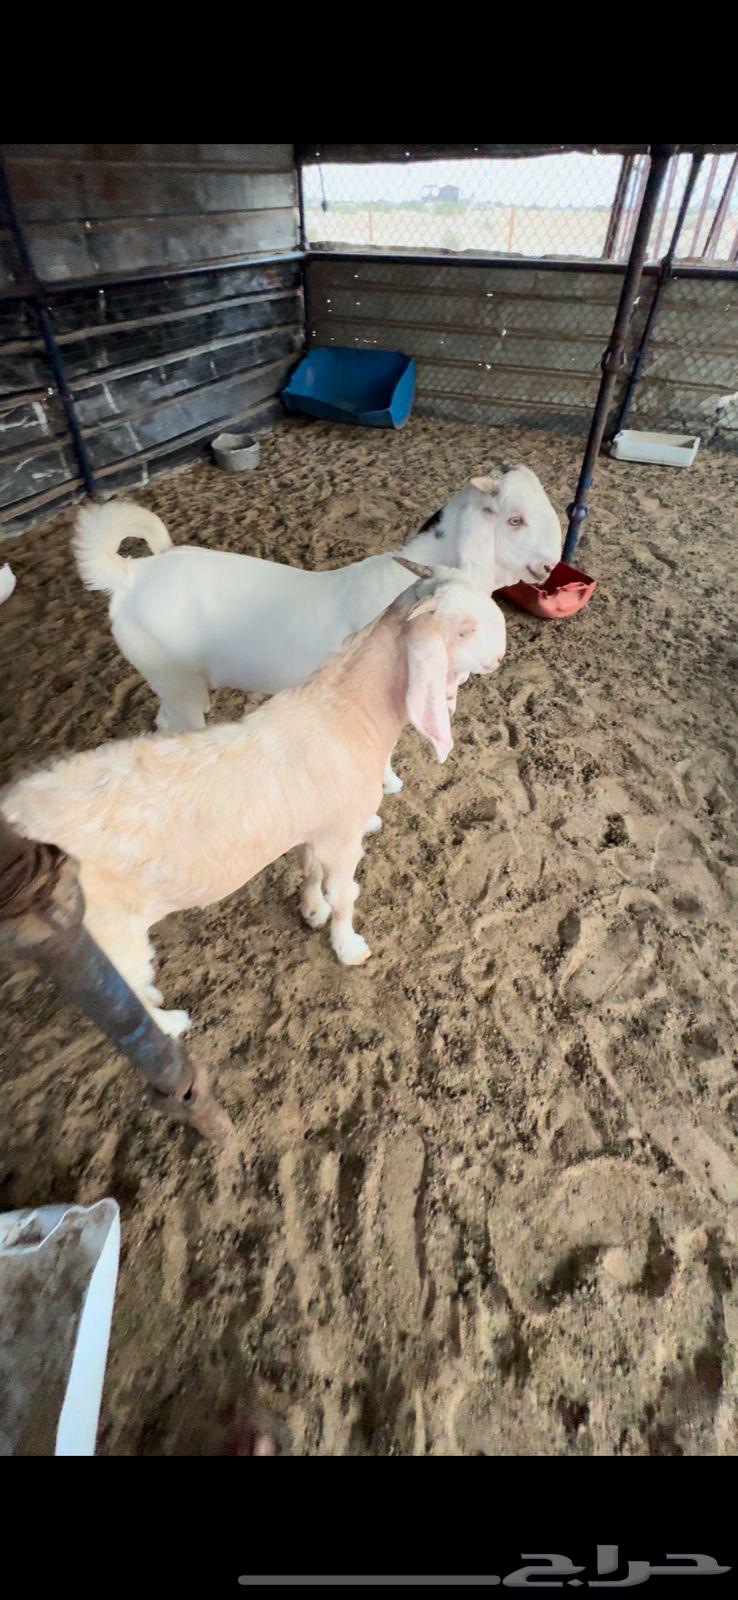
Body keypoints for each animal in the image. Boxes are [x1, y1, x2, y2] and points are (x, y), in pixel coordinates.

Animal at [2, 562, 506, 1038]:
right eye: (464, 628)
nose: (502, 651)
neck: (346, 713)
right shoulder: (342, 835)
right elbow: (345, 894)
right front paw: (348, 946)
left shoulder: (313, 828)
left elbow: (309, 870)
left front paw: (312, 911)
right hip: (103, 932)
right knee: (130, 996)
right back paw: (170, 1024)